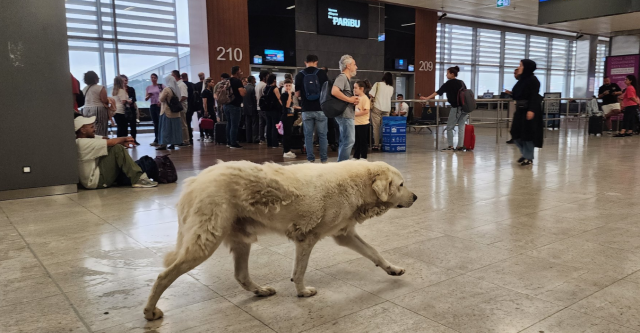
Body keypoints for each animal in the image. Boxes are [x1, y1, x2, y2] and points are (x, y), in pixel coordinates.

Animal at [142, 160, 418, 320]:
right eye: (401, 184)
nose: (415, 197)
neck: (356, 184)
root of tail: (194, 182)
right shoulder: (307, 238)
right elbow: (299, 271)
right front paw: (302, 292)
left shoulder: (344, 235)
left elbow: (374, 253)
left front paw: (392, 269)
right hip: (204, 243)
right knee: (163, 276)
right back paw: (150, 311)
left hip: (241, 240)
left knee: (241, 276)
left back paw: (260, 291)